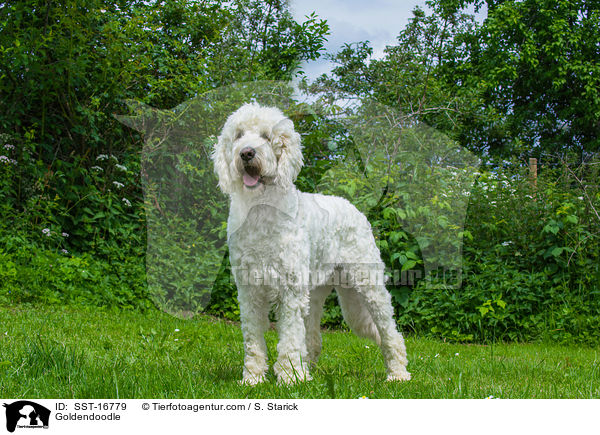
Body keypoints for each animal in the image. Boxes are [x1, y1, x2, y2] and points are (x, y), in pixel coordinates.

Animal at [212, 103, 412, 384]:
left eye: (266, 136)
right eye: (239, 135)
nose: (247, 153)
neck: (261, 209)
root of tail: (353, 207)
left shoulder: (290, 289)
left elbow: (289, 337)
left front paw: (289, 378)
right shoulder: (249, 290)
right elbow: (253, 340)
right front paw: (253, 378)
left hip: (368, 285)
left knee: (389, 331)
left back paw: (397, 373)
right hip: (320, 295)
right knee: (314, 340)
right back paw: (307, 369)